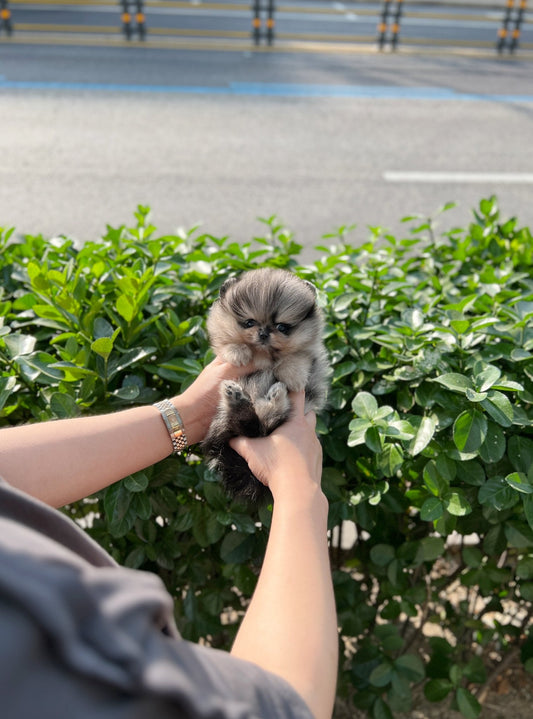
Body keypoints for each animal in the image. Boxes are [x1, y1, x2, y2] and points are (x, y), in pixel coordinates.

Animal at [202, 266, 328, 506]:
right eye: (249, 322)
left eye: (282, 327)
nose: (263, 332)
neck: (264, 354)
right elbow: (226, 344)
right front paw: (238, 352)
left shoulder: (311, 355)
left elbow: (298, 356)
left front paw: (292, 374)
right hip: (223, 424)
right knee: (243, 421)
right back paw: (237, 399)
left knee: (265, 420)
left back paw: (272, 398)